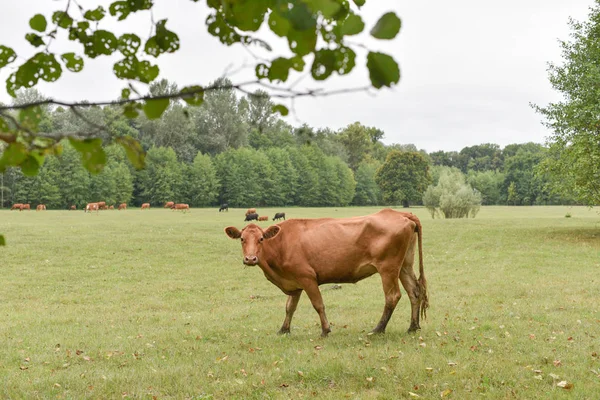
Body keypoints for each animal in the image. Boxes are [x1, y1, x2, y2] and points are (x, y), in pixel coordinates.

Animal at [224, 209, 426, 338]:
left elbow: (318, 304)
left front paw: (325, 330)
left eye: (261, 239)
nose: (250, 259)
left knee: (393, 296)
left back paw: (378, 329)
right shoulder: (294, 283)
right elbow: (290, 307)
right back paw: (413, 327)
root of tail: (399, 213)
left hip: (388, 268)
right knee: (414, 292)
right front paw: (284, 329)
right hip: (404, 265)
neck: (282, 244)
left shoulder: (307, 278)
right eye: (242, 239)